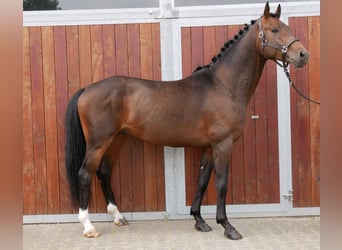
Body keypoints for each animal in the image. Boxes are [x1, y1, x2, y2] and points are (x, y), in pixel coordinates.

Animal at [65, 1, 310, 240]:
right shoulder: (223, 144)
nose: (303, 55)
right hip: (98, 142)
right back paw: (88, 226)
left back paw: (118, 217)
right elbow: (221, 184)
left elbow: (202, 181)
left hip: (116, 139)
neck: (223, 86)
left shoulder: (209, 147)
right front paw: (227, 227)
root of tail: (87, 89)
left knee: (104, 172)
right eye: (275, 29)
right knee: (85, 174)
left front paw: (199, 221)